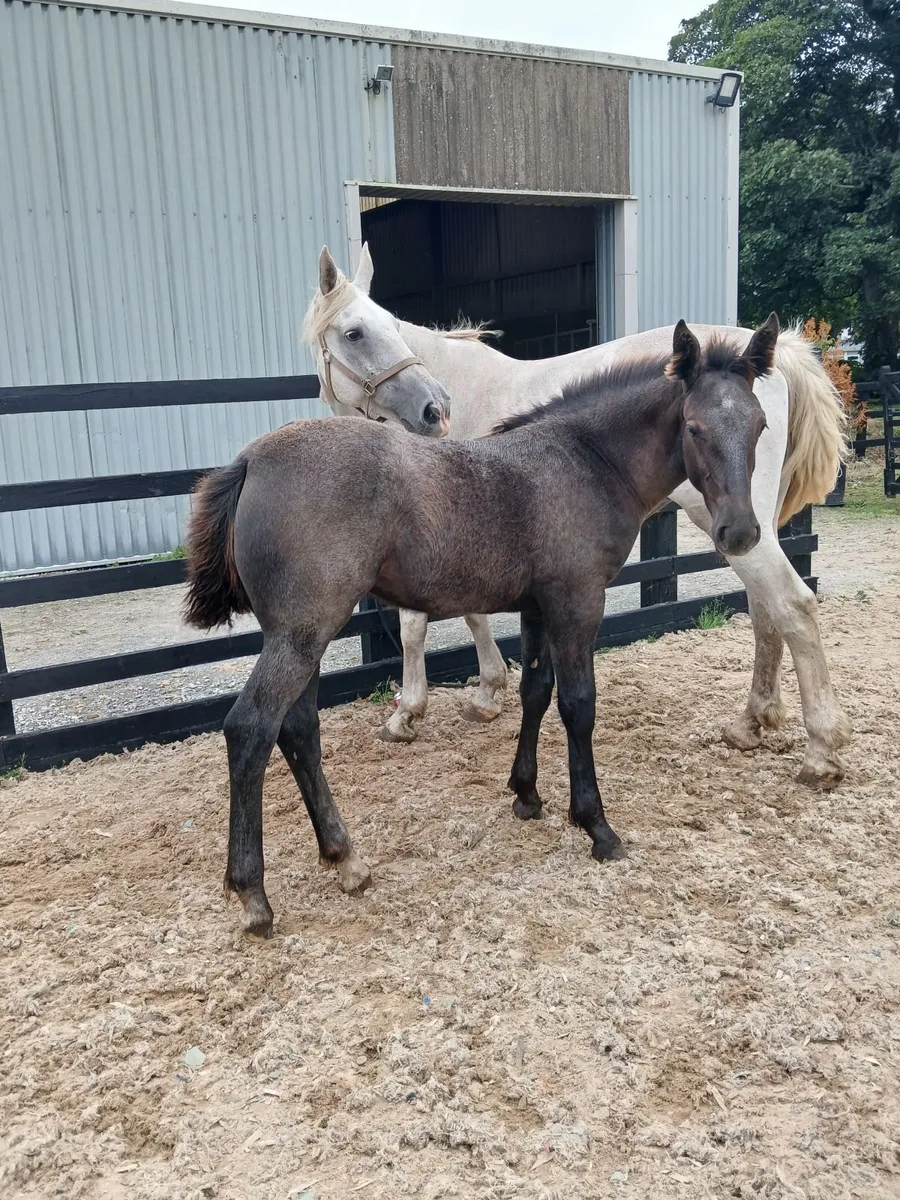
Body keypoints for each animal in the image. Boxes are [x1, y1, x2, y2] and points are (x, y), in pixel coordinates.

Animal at [184, 318, 774, 936]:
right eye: (693, 426)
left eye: (760, 425)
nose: (740, 532)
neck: (586, 460)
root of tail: (252, 459)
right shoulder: (577, 603)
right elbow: (578, 706)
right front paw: (595, 825)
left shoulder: (538, 607)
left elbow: (535, 690)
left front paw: (526, 795)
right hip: (303, 633)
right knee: (251, 729)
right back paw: (254, 894)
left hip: (302, 635)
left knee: (298, 731)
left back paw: (345, 858)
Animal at [308, 245, 851, 789]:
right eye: (355, 332)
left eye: (389, 327)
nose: (433, 409)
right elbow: (472, 612)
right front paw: (487, 694)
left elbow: (415, 626)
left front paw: (407, 714)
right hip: (752, 530)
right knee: (765, 610)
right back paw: (751, 723)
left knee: (794, 605)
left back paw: (821, 749)